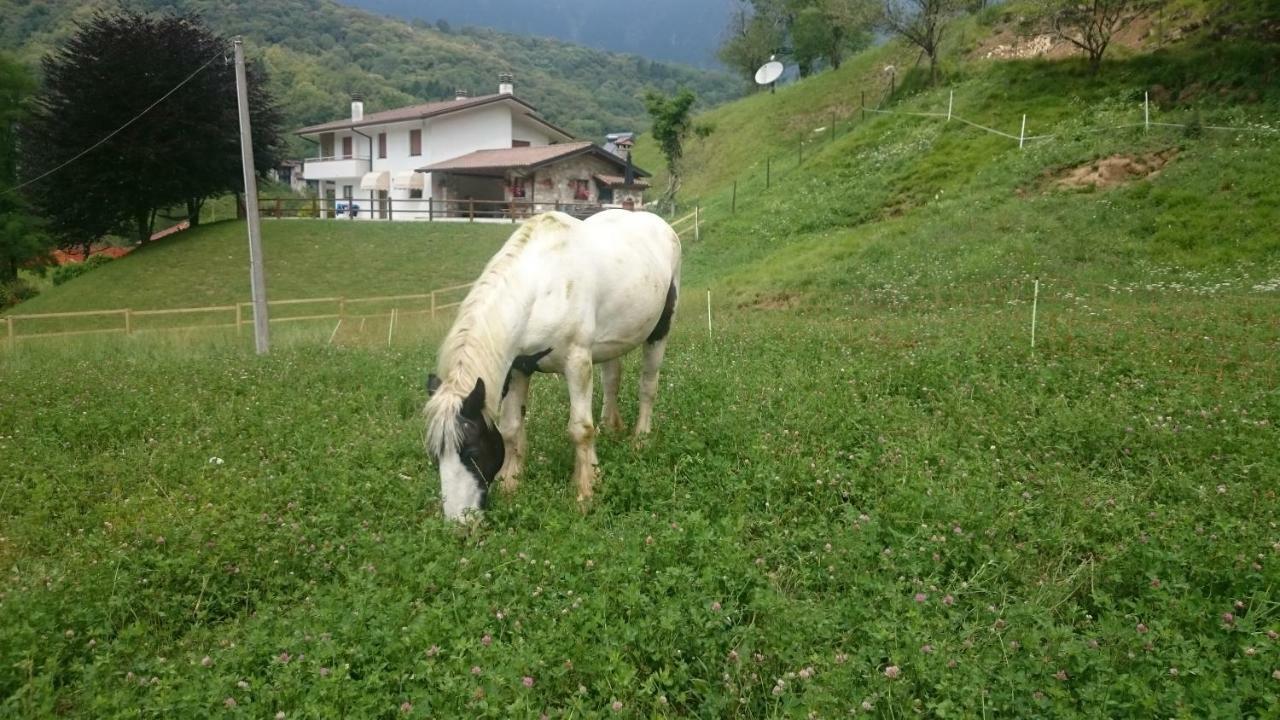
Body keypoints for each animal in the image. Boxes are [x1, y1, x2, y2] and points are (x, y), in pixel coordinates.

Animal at [422, 207, 686, 515]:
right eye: (435, 455)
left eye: (472, 451)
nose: (460, 521)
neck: (541, 285)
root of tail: (662, 225)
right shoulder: (519, 368)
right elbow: (511, 427)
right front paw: (511, 483)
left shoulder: (577, 362)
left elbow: (580, 429)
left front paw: (585, 491)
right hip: (610, 343)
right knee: (612, 379)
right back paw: (610, 429)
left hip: (660, 332)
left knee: (648, 386)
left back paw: (640, 439)